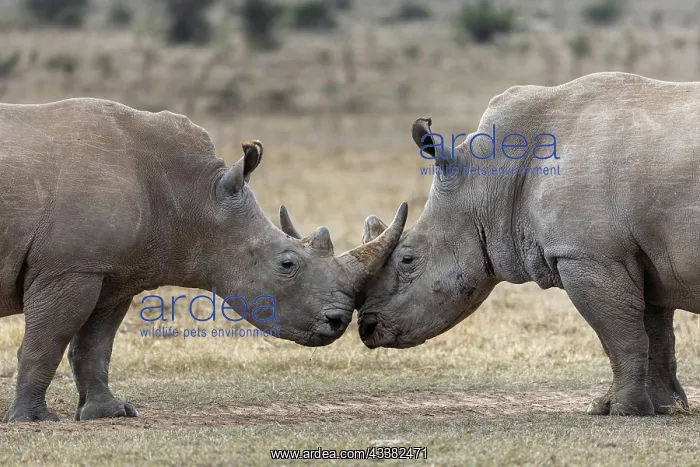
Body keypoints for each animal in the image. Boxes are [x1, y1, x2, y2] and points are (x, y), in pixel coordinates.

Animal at [0, 98, 408, 422]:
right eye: (287, 264)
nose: (338, 321)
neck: (193, 198)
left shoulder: (111, 272)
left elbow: (95, 345)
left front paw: (110, 413)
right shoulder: (69, 268)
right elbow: (47, 341)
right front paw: (34, 420)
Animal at [356, 72, 700, 416]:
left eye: (408, 259)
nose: (366, 327)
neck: (488, 181)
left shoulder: (589, 256)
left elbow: (620, 335)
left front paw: (620, 410)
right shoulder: (641, 253)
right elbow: (654, 334)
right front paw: (663, 407)